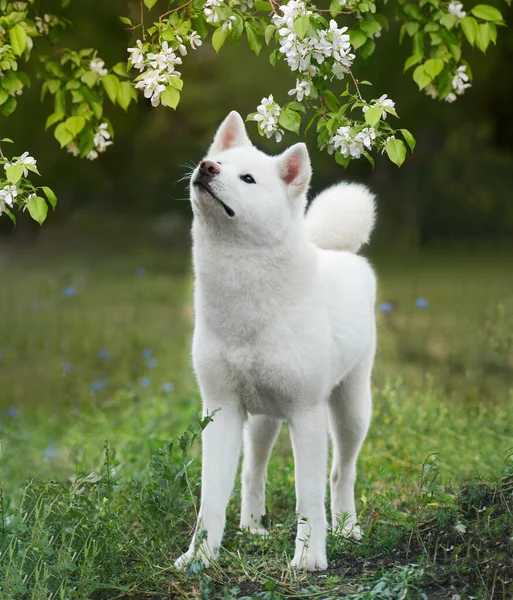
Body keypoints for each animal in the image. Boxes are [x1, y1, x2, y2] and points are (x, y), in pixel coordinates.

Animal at [176, 111, 376, 572]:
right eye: (217, 161)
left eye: (248, 179)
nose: (206, 168)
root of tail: (340, 253)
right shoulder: (220, 410)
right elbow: (211, 498)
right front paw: (200, 556)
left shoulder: (306, 414)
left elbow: (308, 498)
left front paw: (309, 556)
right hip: (263, 419)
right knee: (254, 471)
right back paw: (253, 527)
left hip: (351, 410)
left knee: (341, 473)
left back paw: (346, 528)